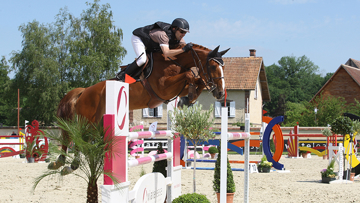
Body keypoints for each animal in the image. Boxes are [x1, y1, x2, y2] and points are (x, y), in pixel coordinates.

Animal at [48, 43, 231, 174]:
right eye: (213, 67)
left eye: (223, 67)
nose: (220, 93)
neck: (175, 62)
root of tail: (84, 91)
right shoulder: (163, 87)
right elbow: (190, 75)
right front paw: (191, 93)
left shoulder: (176, 88)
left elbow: (196, 81)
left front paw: (188, 98)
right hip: (88, 120)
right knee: (74, 136)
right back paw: (66, 164)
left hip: (96, 124)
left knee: (80, 138)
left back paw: (65, 164)